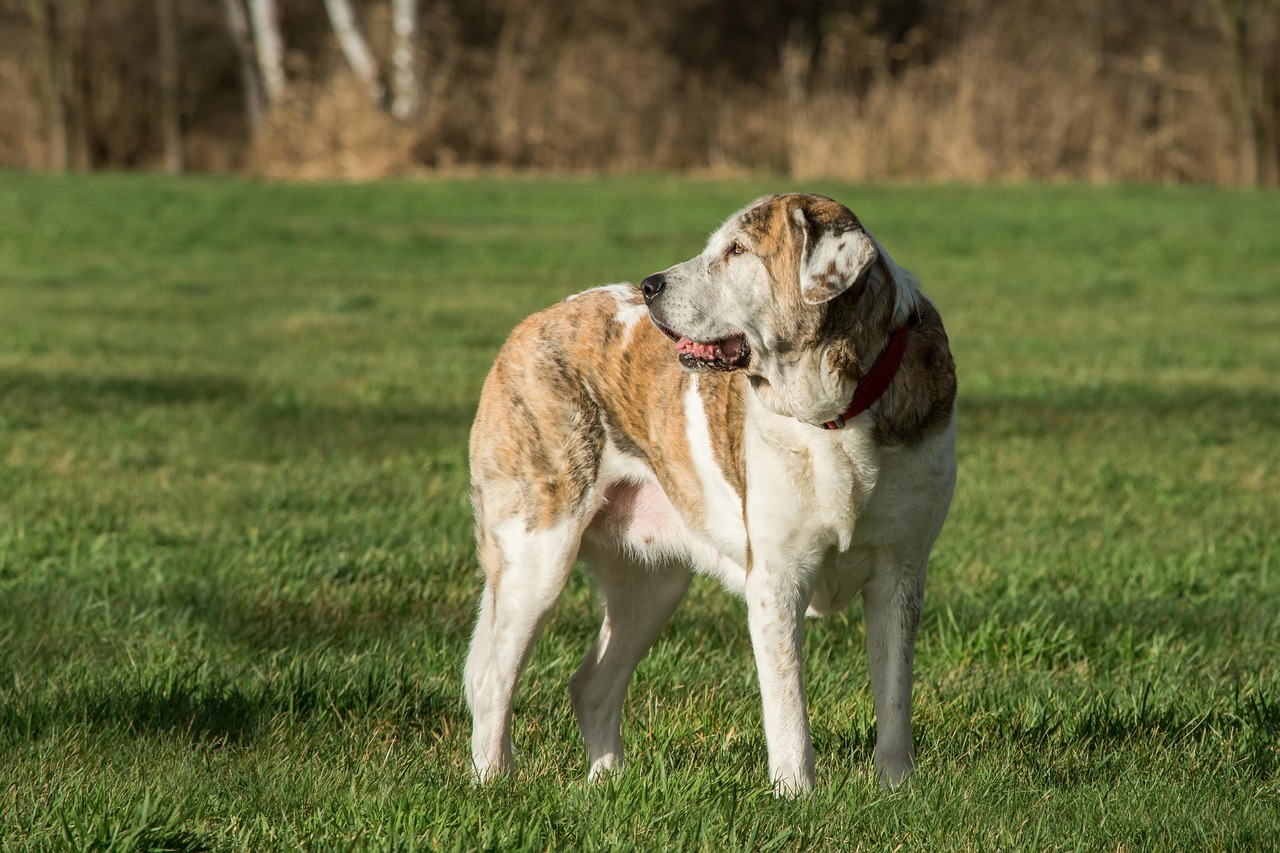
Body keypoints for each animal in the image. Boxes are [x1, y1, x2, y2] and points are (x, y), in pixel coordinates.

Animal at [465, 192, 957, 788]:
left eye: (737, 251)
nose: (650, 285)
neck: (836, 415)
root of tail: (529, 326)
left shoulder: (900, 571)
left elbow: (895, 698)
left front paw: (896, 788)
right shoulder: (777, 577)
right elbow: (788, 709)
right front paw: (797, 795)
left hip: (653, 584)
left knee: (592, 686)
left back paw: (609, 785)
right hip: (537, 555)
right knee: (492, 680)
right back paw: (495, 783)